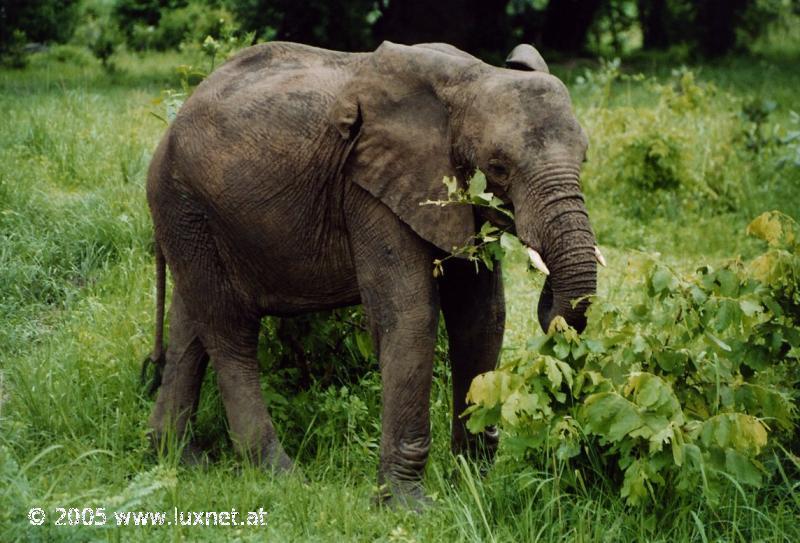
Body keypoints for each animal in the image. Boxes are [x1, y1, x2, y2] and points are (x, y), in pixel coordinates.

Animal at [144, 40, 596, 508]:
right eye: (499, 165)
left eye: (584, 157)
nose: (551, 308)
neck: (472, 77)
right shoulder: (369, 190)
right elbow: (410, 316)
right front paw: (408, 506)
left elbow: (482, 317)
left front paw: (473, 485)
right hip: (184, 204)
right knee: (229, 330)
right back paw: (280, 476)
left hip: (193, 220)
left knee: (191, 324)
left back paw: (178, 461)